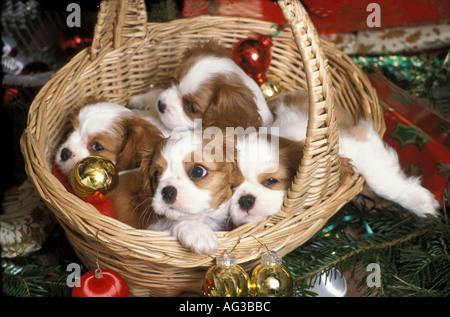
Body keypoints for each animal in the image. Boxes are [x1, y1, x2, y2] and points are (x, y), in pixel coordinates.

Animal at [230, 90, 438, 226]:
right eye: (230, 188)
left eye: (271, 181)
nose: (245, 200)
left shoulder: (359, 141)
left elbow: (381, 181)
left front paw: (421, 202)